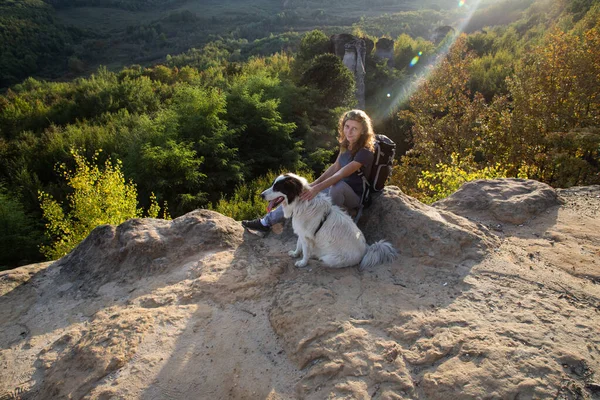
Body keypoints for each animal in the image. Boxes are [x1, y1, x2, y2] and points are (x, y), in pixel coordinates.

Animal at [260, 173, 396, 270]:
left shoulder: (306, 236)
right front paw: (295, 253)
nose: (261, 195)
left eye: (277, 187)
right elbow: (299, 245)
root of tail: (366, 249)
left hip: (330, 258)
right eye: (272, 184)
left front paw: (303, 262)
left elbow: (305, 250)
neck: (300, 202)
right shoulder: (302, 232)